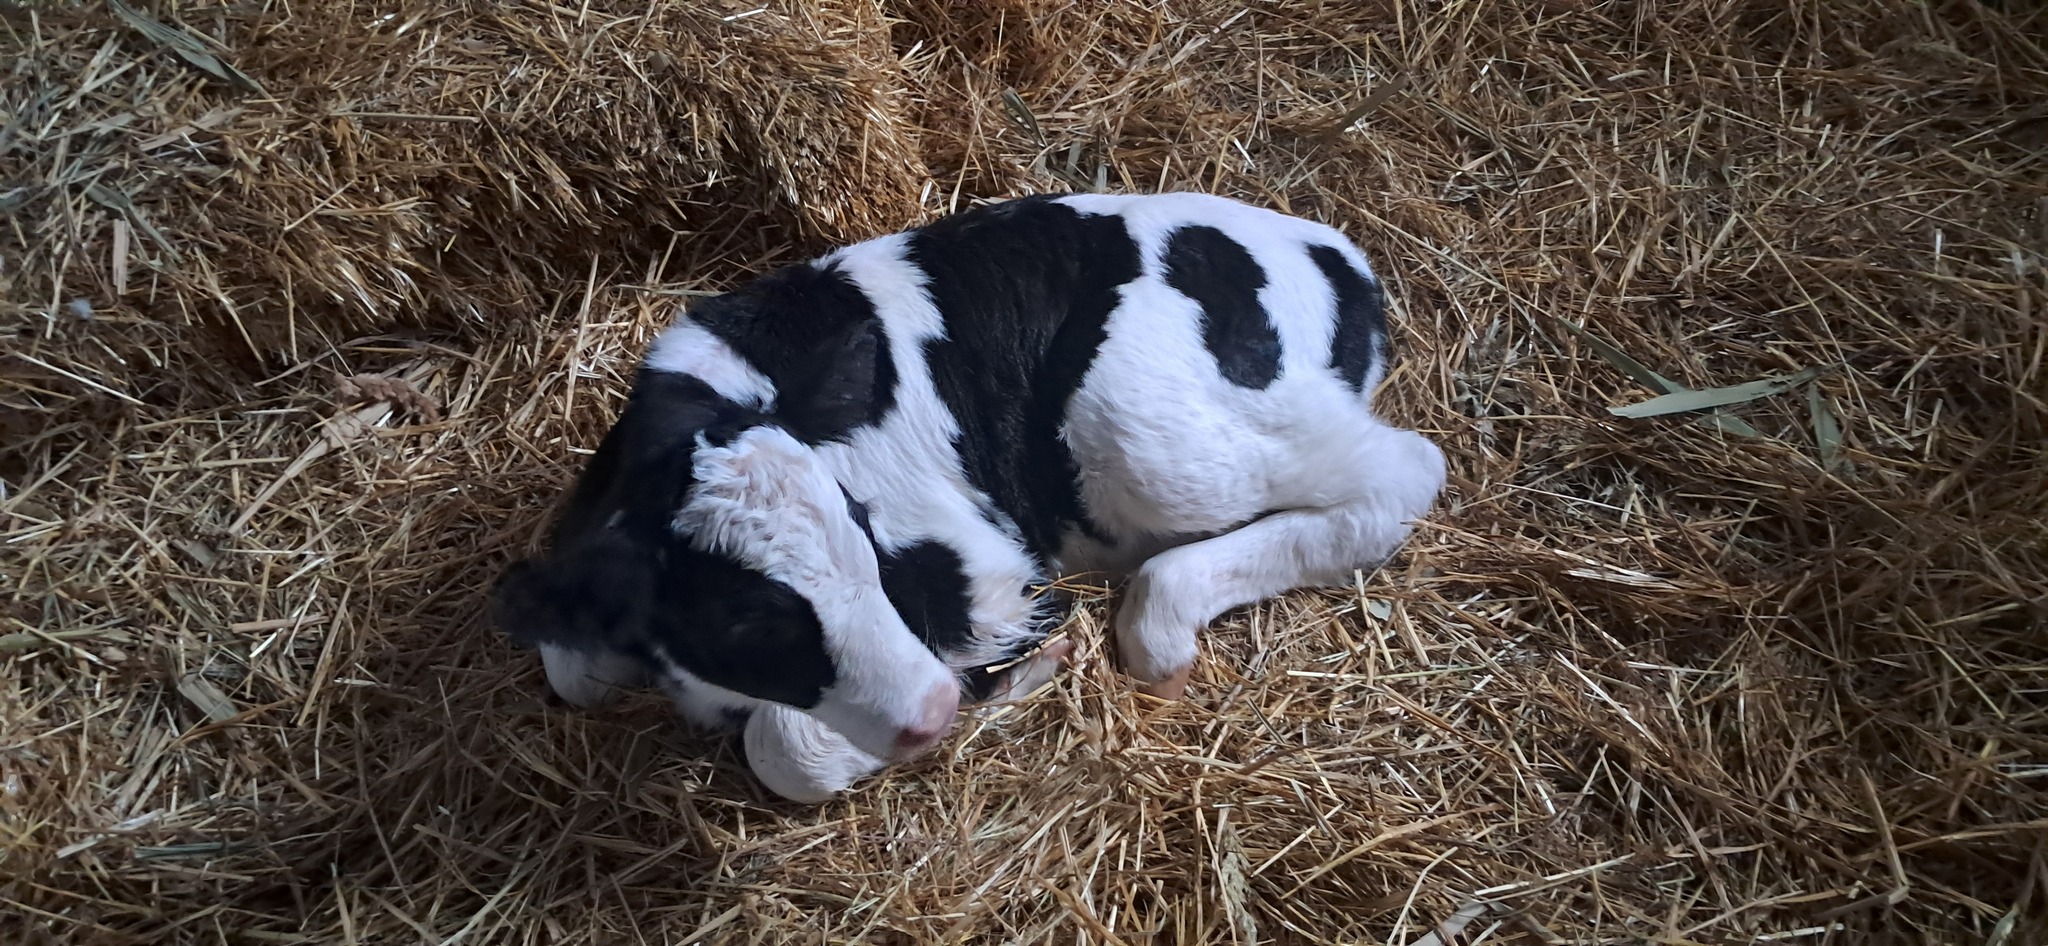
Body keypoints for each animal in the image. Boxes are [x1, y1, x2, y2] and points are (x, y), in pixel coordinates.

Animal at [493, 191, 1447, 801]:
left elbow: (781, 746)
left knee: (1402, 470)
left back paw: (1161, 627)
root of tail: (1338, 258)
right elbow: (572, 667)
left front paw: (1014, 680)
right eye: (738, 623)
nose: (932, 712)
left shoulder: (988, 581)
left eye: (860, 532)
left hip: (1150, 435)